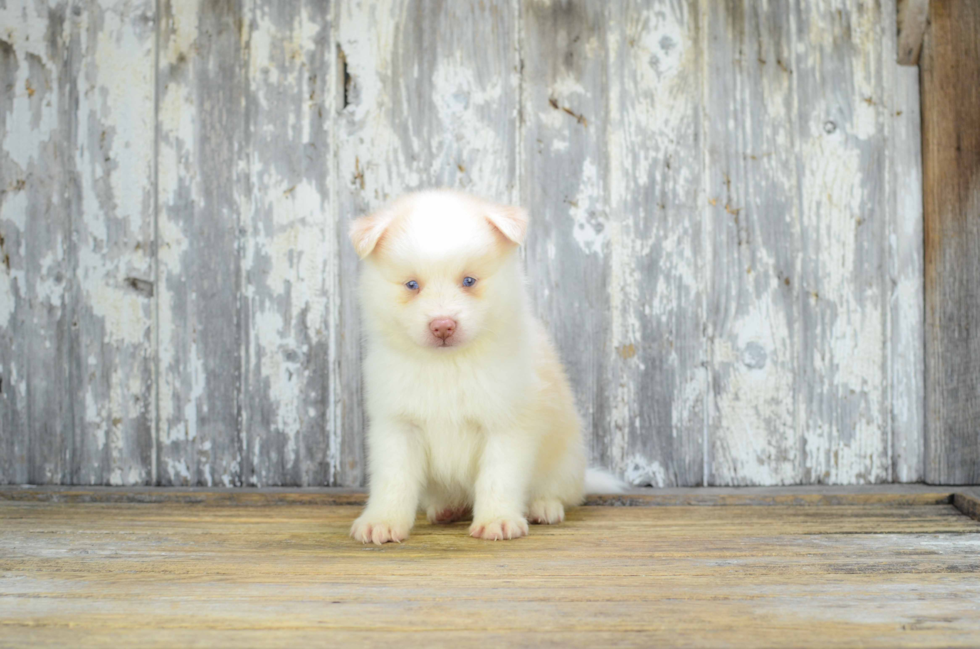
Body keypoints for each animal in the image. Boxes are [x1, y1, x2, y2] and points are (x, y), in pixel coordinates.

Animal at [348, 189, 616, 540]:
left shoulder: (505, 425)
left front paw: (497, 520)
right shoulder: (397, 425)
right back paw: (447, 508)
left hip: (565, 460)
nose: (443, 326)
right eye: (411, 285)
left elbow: (497, 478)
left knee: (559, 492)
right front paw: (382, 521)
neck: (447, 365)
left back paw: (544, 507)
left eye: (469, 280)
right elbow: (393, 480)